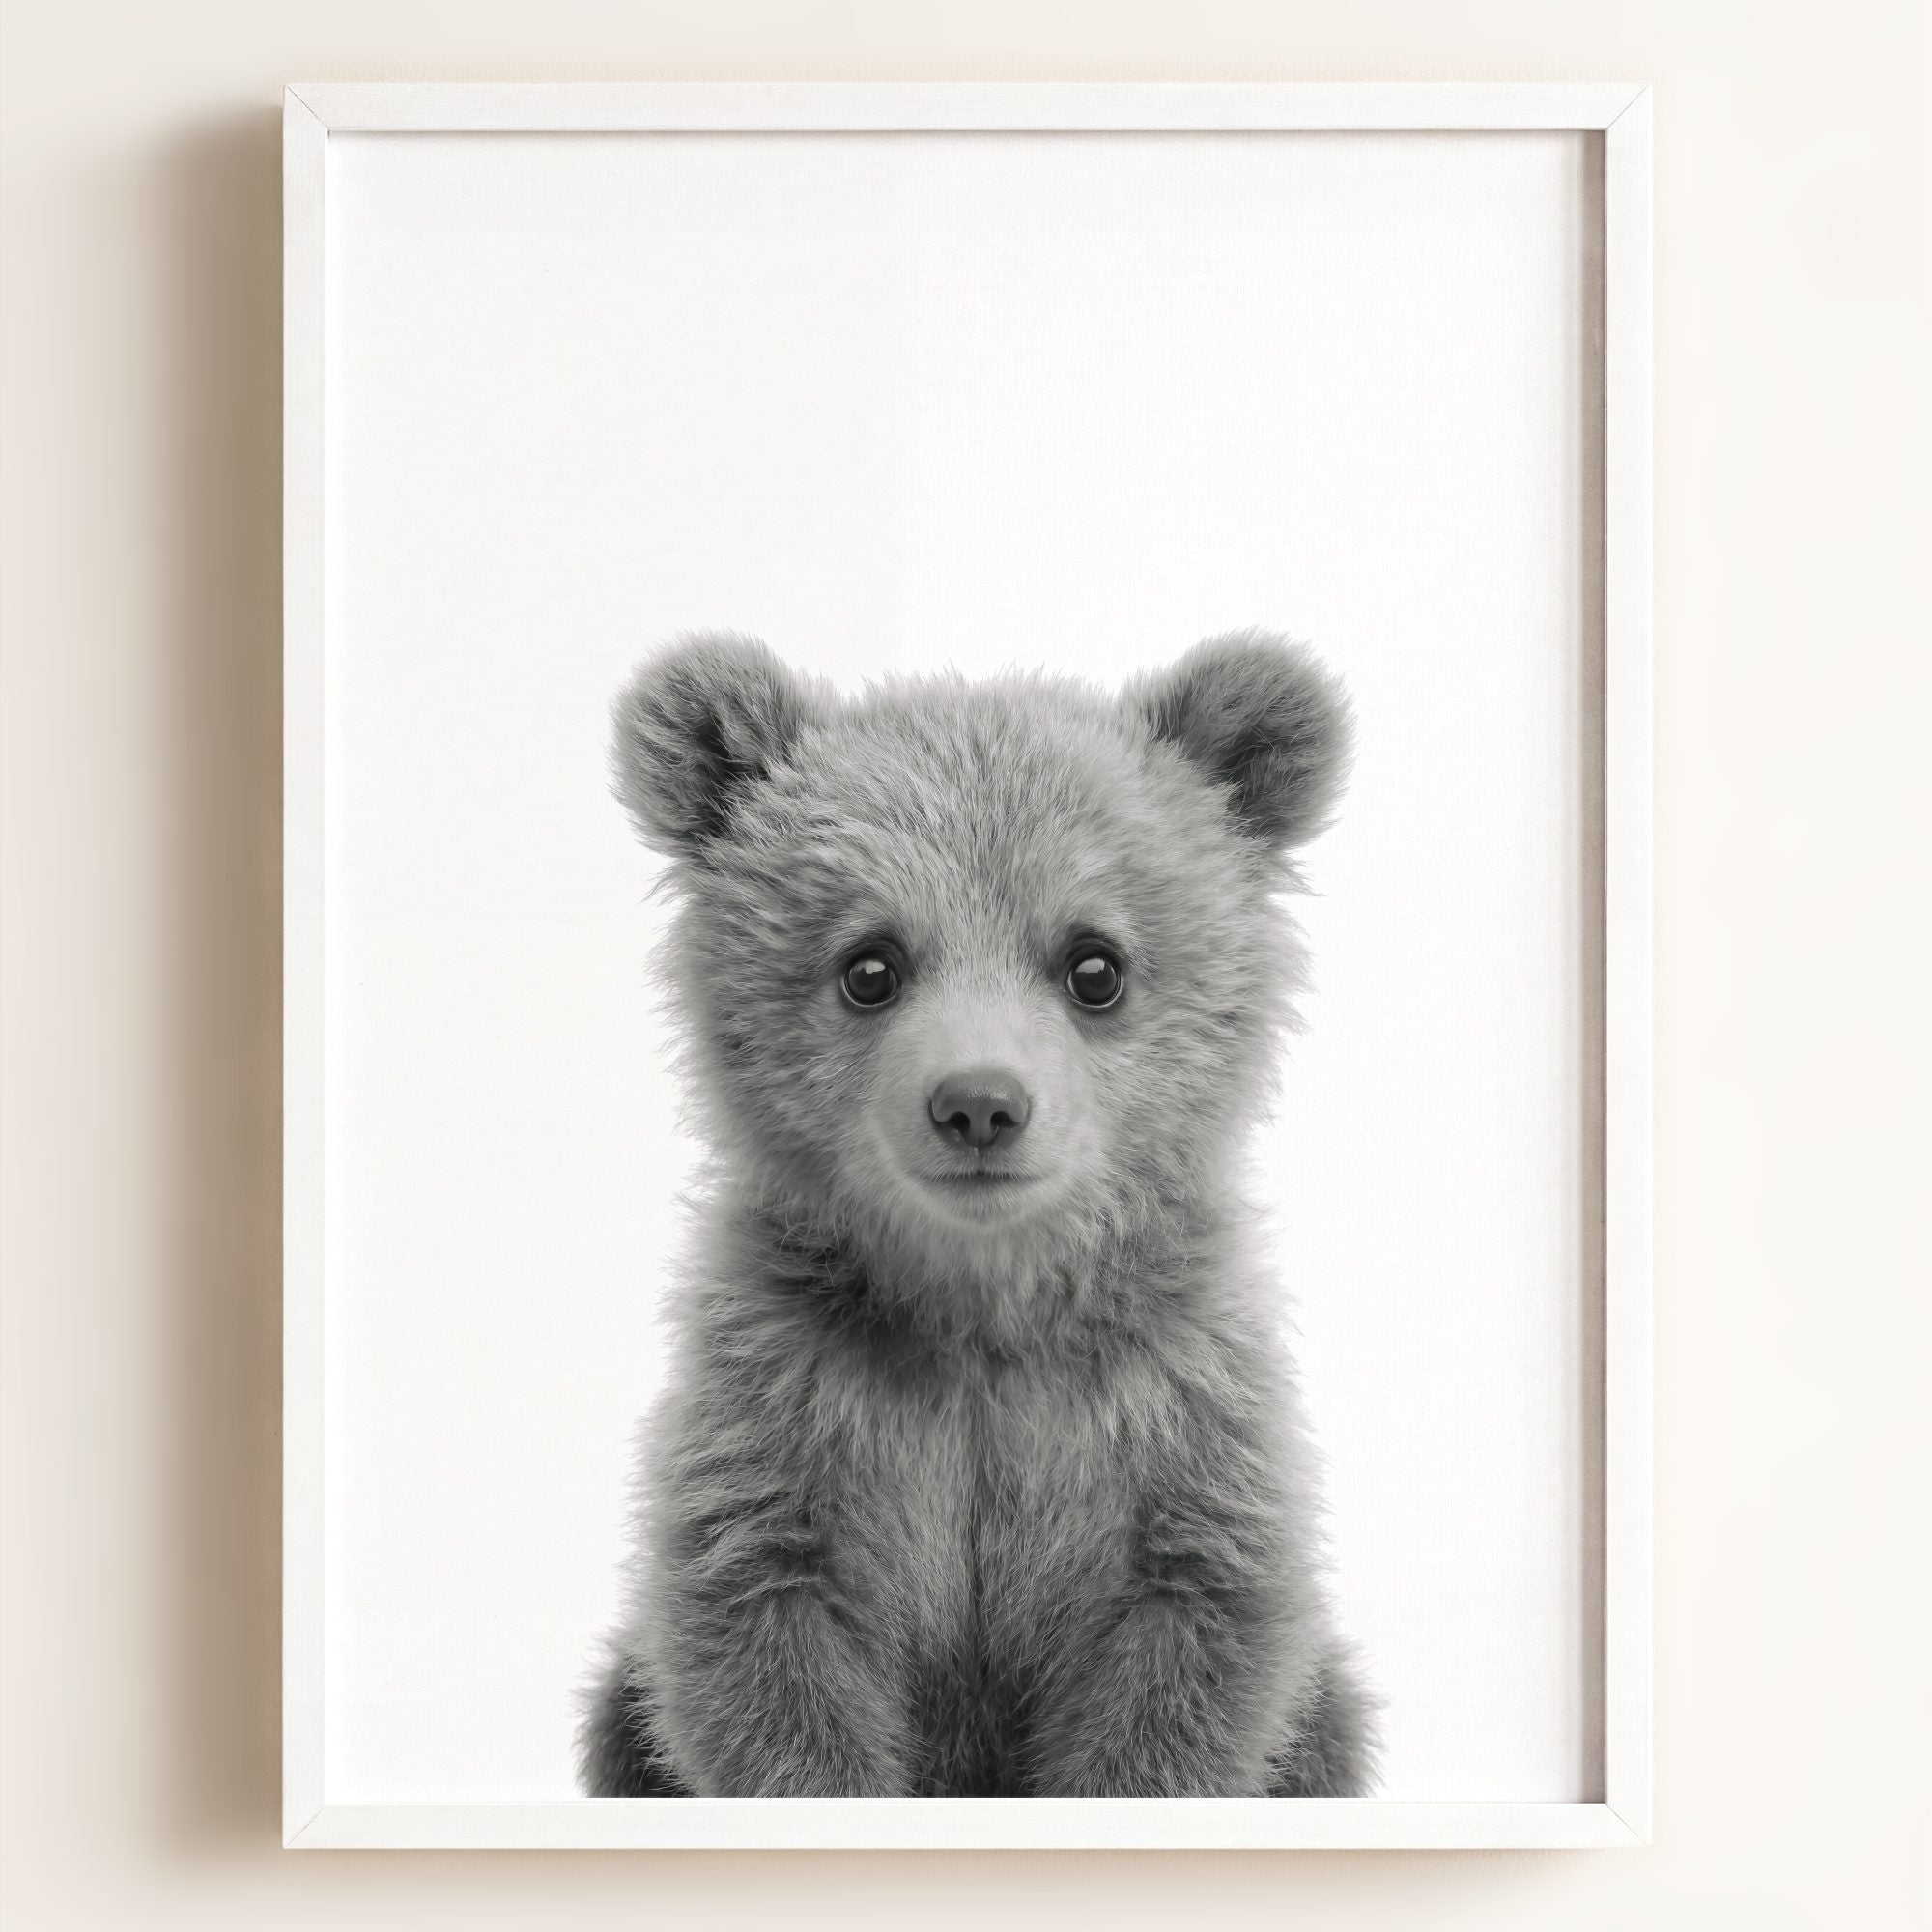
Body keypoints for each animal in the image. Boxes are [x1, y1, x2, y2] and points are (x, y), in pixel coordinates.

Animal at [580, 628, 1378, 1799]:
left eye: (1095, 963)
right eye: (869, 964)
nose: (979, 1105)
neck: (980, 1309)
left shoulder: (1170, 1419)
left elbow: (1186, 1659)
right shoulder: (788, 1410)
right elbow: (764, 1649)